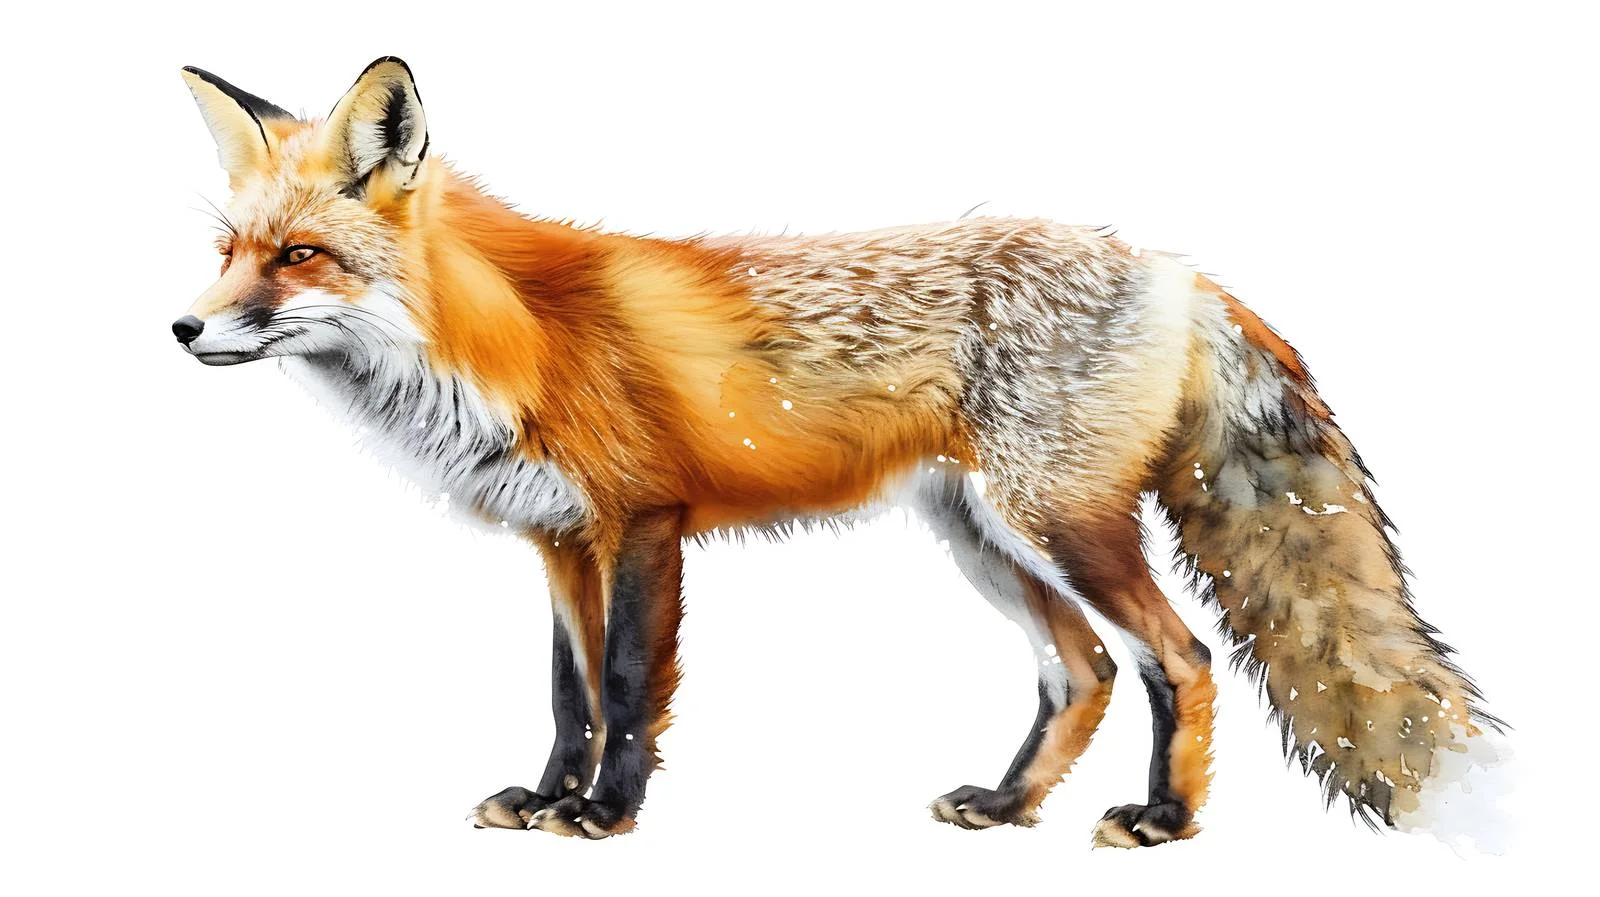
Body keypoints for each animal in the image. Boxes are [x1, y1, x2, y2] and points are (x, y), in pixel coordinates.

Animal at [173, 57, 1499, 846]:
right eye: (229, 251)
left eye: (299, 257)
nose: (182, 330)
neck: (506, 339)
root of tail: (1175, 268)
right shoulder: (557, 540)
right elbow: (564, 692)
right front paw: (546, 796)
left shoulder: (645, 523)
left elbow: (625, 686)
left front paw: (606, 815)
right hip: (984, 537)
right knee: (1082, 674)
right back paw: (1005, 804)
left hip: (1057, 524)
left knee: (1177, 657)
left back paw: (1165, 821)